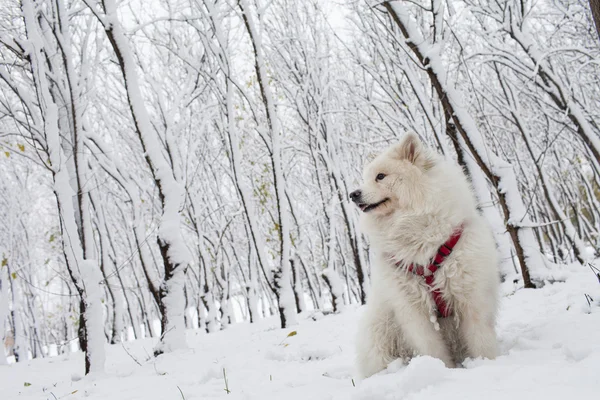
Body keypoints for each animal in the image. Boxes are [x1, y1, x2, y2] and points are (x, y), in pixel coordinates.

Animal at [354, 134, 500, 378]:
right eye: (365, 179)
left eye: (380, 176)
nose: (352, 194)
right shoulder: (413, 309)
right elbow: (432, 347)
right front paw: (443, 370)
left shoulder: (470, 295)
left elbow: (480, 338)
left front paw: (489, 363)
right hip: (381, 330)